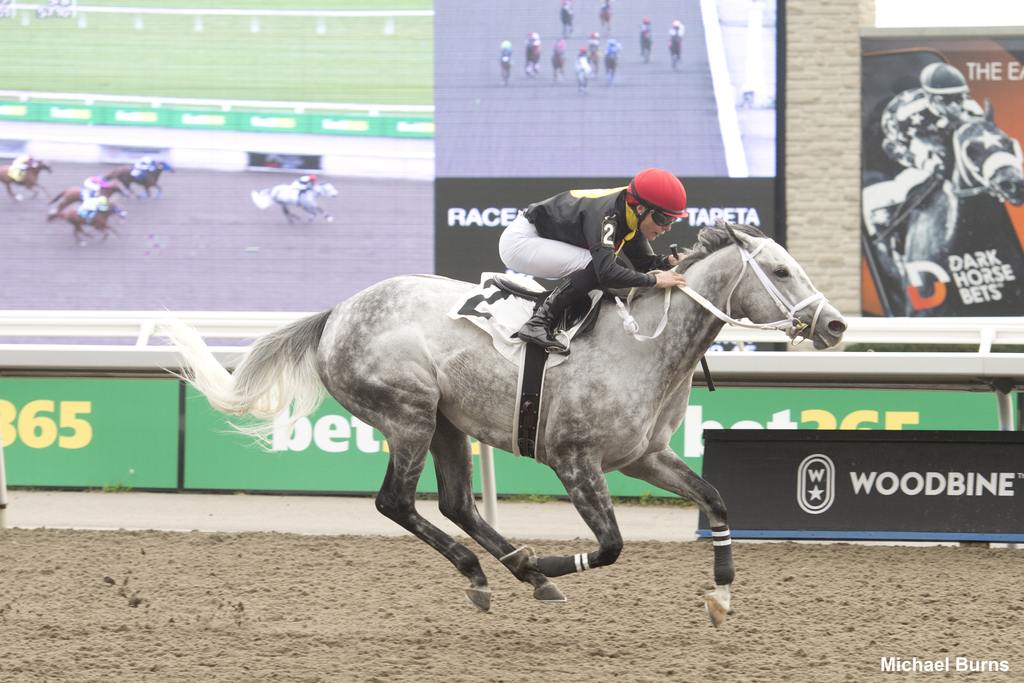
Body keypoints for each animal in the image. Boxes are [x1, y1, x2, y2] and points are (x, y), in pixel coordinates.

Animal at [161, 223, 847, 626]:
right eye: (780, 271)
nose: (836, 324)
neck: (643, 345)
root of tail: (338, 312)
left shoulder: (644, 456)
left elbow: (717, 499)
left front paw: (722, 596)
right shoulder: (575, 461)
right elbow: (611, 546)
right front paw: (550, 564)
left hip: (446, 423)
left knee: (457, 502)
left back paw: (512, 569)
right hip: (408, 413)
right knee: (397, 502)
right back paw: (501, 570)